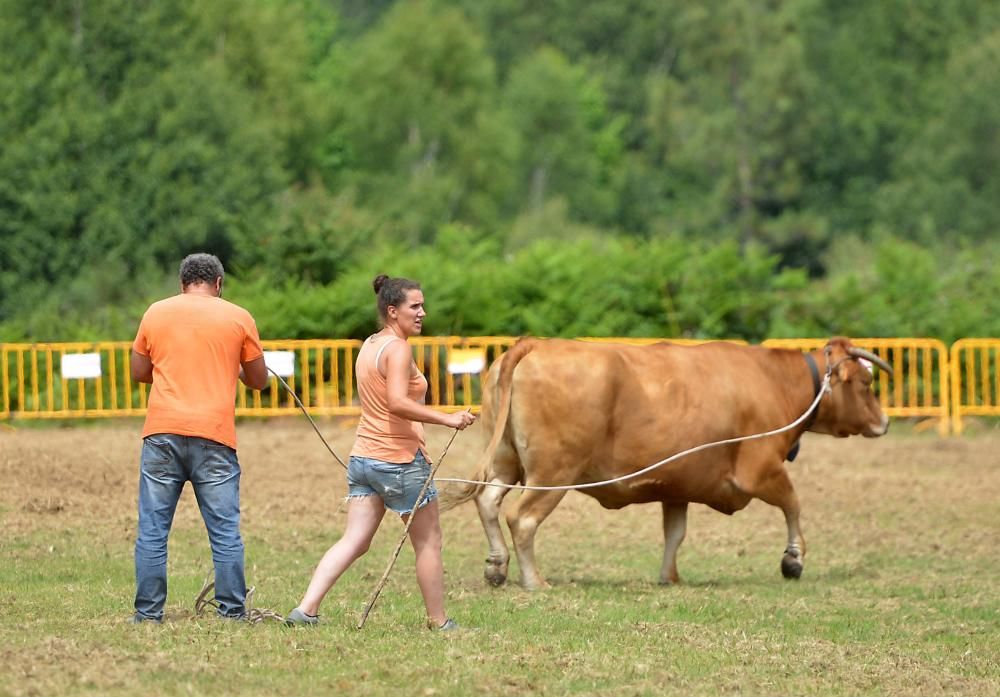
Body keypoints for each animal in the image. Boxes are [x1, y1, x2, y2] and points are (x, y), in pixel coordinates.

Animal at [446, 338, 892, 588]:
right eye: (866, 383)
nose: (884, 422)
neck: (773, 382)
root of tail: (535, 344)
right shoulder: (760, 470)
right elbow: (794, 505)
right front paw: (793, 559)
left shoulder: (677, 487)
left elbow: (674, 534)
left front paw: (670, 577)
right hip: (552, 473)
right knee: (521, 518)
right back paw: (534, 580)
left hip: (506, 460)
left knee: (488, 503)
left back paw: (497, 566)